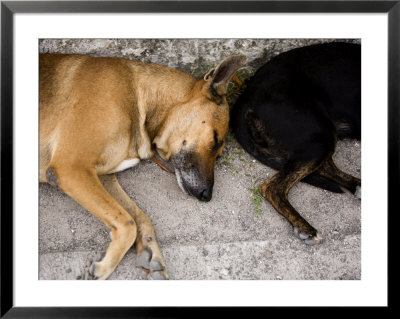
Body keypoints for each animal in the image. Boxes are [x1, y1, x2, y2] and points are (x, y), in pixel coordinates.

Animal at [40, 52, 247, 280]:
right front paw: (103, 268)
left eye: (219, 156)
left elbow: (138, 216)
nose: (206, 195)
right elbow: (128, 223)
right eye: (216, 140)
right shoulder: (71, 169)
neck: (140, 99)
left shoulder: (102, 176)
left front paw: (150, 250)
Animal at [230, 42, 360, 245]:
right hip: (320, 135)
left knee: (321, 165)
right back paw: (306, 227)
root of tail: (244, 98)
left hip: (317, 138)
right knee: (272, 187)